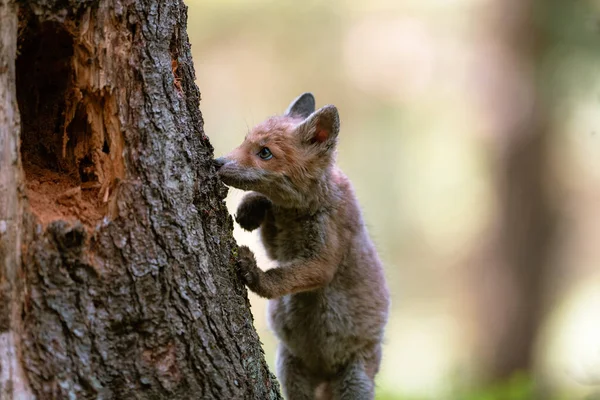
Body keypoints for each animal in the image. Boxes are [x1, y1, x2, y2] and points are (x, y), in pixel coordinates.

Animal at [213, 94, 392, 400]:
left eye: (264, 153)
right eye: (245, 141)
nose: (216, 162)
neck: (302, 211)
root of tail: (324, 374)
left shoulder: (322, 260)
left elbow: (281, 277)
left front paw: (254, 274)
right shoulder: (279, 248)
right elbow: (268, 229)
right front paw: (251, 207)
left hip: (354, 379)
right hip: (291, 369)